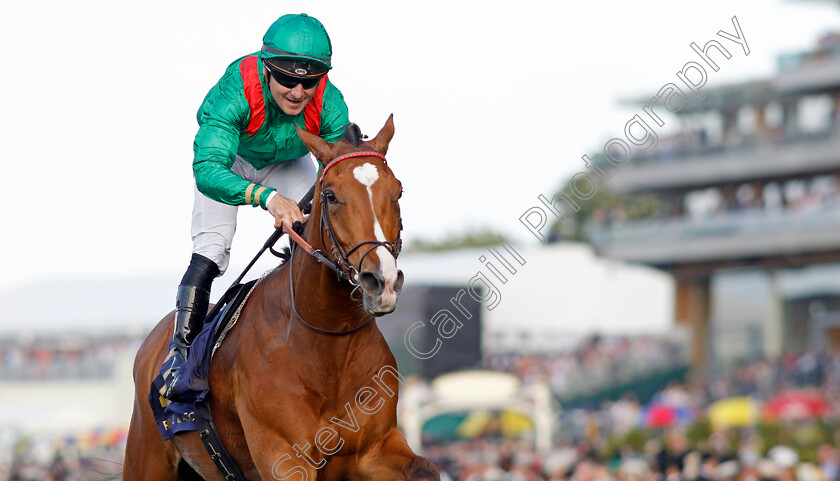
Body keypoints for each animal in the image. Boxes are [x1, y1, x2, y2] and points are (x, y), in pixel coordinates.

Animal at [126, 117, 440, 480]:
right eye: (330, 196)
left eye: (397, 192)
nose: (382, 281)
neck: (328, 347)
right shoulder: (285, 458)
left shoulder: (376, 448)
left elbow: (426, 469)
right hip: (146, 458)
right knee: (209, 253)